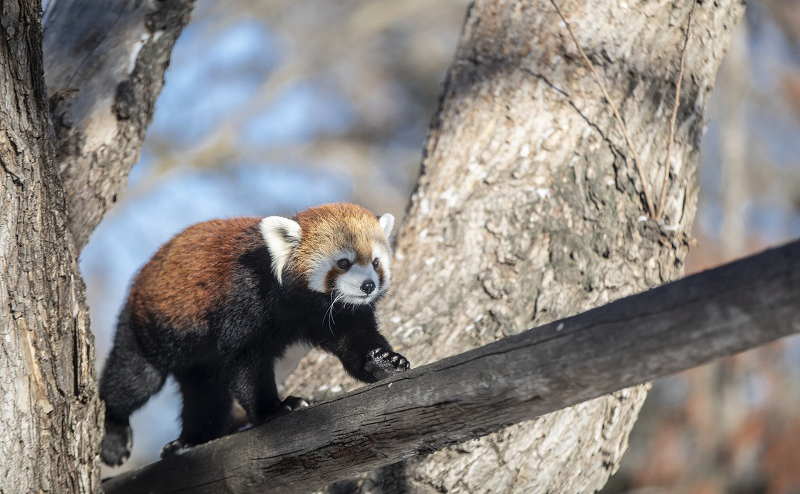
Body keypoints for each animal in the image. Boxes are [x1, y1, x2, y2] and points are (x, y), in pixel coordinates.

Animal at [99, 204, 410, 466]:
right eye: (344, 263)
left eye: (376, 262)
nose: (368, 285)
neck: (302, 303)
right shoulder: (246, 298)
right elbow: (246, 362)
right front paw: (274, 408)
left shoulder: (337, 313)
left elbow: (355, 342)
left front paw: (385, 361)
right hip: (149, 327)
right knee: (133, 379)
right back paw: (114, 434)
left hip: (199, 360)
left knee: (206, 393)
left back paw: (191, 440)